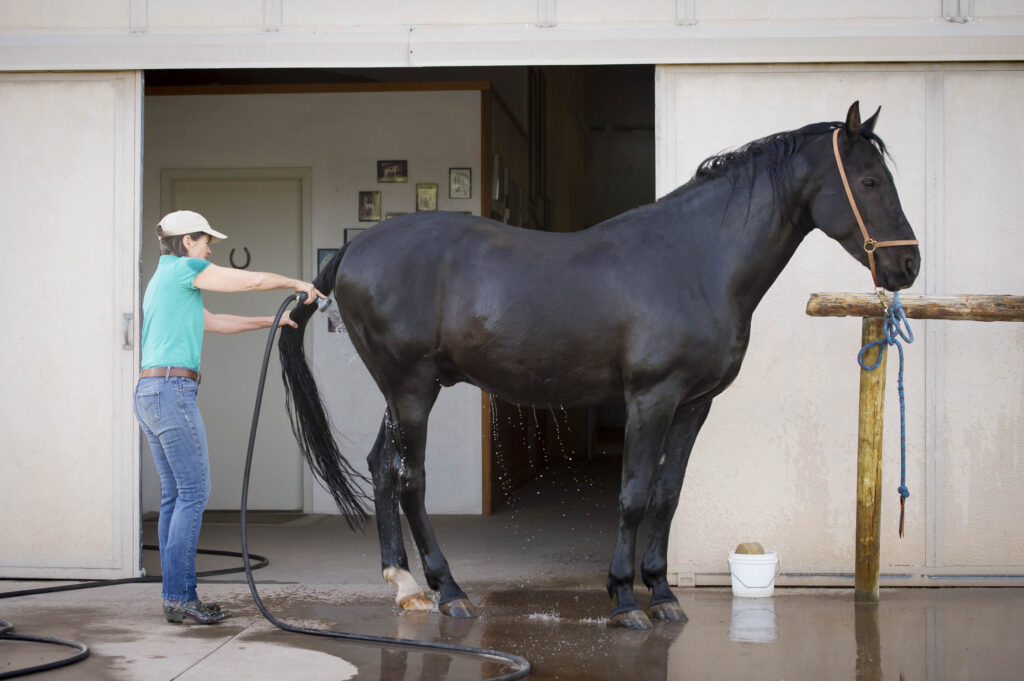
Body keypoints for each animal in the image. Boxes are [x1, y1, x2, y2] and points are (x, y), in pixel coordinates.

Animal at [279, 102, 920, 630]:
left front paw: (664, 595)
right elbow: (634, 494)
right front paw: (626, 599)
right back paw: (450, 592)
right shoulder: (651, 398)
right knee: (411, 478)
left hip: (407, 390)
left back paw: (406, 586)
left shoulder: (693, 404)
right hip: (412, 388)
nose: (908, 266)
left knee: (382, 469)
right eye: (869, 180)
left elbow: (667, 493)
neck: (694, 261)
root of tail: (354, 250)